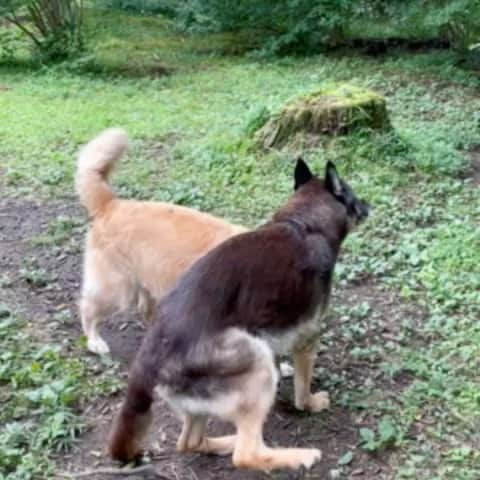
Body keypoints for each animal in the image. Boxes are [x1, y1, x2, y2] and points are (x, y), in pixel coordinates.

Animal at [110, 159, 370, 470]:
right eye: (352, 194)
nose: (368, 205)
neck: (304, 224)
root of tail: (150, 357)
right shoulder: (308, 338)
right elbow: (302, 389)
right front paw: (310, 403)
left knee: (189, 443)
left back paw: (224, 442)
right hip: (256, 361)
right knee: (247, 455)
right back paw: (299, 456)